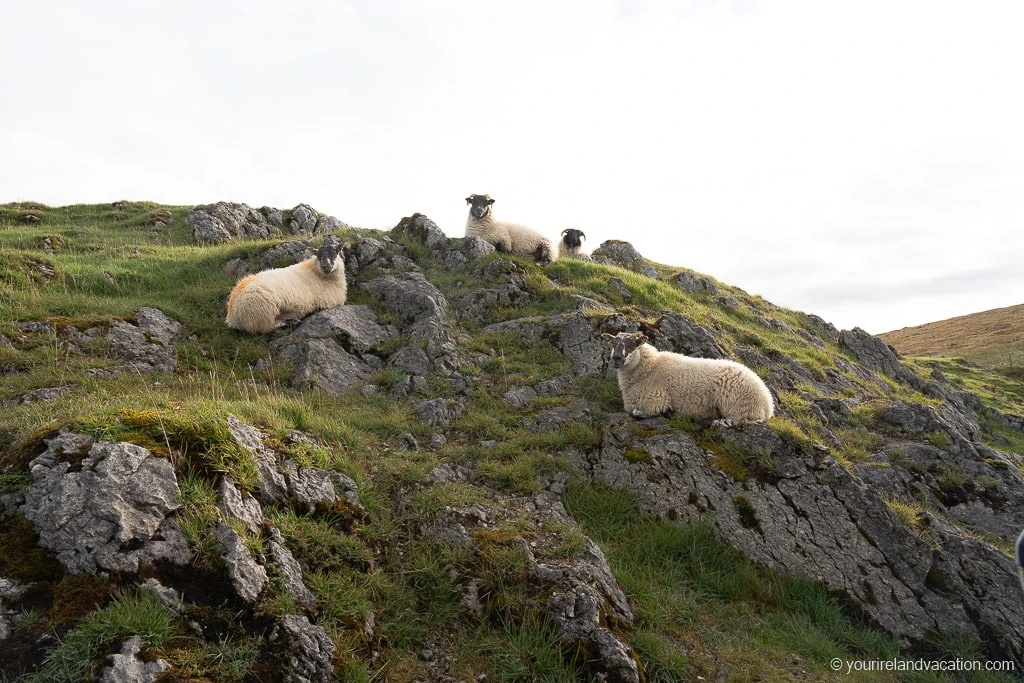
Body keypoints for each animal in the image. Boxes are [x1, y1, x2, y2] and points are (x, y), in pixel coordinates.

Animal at [598, 331, 774, 423]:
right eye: (614, 343)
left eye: (632, 344)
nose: (616, 358)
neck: (648, 368)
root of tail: (768, 403)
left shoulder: (655, 400)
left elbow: (638, 412)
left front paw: (667, 413)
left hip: (739, 406)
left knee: (738, 421)